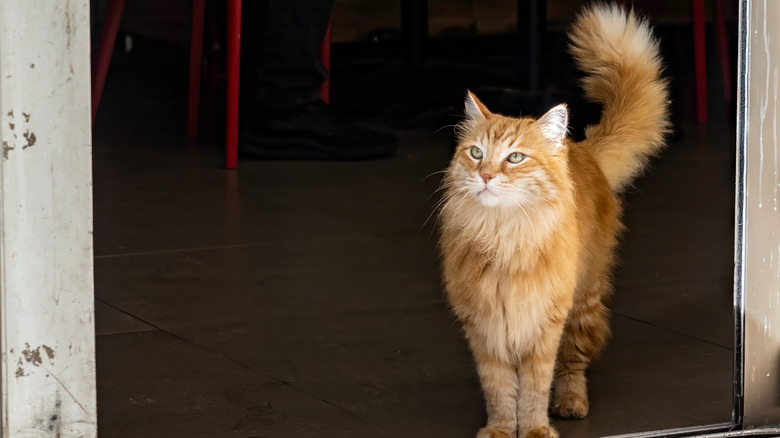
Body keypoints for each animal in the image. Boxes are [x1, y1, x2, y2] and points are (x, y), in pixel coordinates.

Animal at [438, 4, 672, 438]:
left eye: (515, 158)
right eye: (476, 153)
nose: (486, 175)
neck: (504, 236)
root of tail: (580, 149)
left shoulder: (544, 325)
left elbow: (534, 387)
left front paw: (534, 428)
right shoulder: (486, 328)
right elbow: (498, 388)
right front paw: (500, 428)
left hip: (582, 302)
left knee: (573, 364)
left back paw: (570, 402)